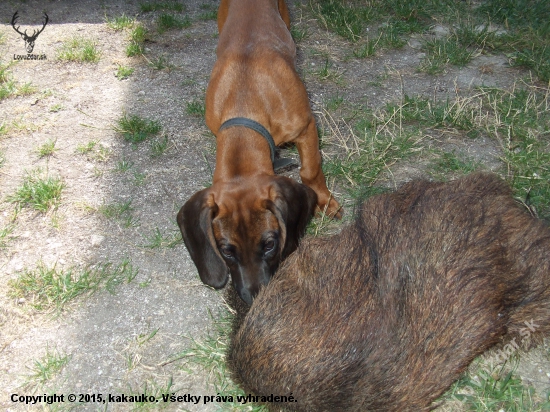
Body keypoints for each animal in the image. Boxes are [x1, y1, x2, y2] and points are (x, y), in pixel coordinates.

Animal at [178, 0, 340, 302]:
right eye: (227, 251)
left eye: (269, 244)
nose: (255, 299)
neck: (245, 96)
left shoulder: (307, 127)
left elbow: (311, 170)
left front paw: (325, 202)